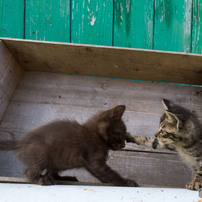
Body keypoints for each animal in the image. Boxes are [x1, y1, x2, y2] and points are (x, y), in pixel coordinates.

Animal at [0, 105, 137, 187]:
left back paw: (67, 178)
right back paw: (42, 179)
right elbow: (109, 173)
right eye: (121, 134)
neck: (96, 135)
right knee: (30, 171)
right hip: (41, 154)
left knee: (52, 173)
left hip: (58, 161)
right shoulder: (94, 159)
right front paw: (126, 182)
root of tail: (22, 142)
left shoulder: (90, 163)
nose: (124, 144)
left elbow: (101, 174)